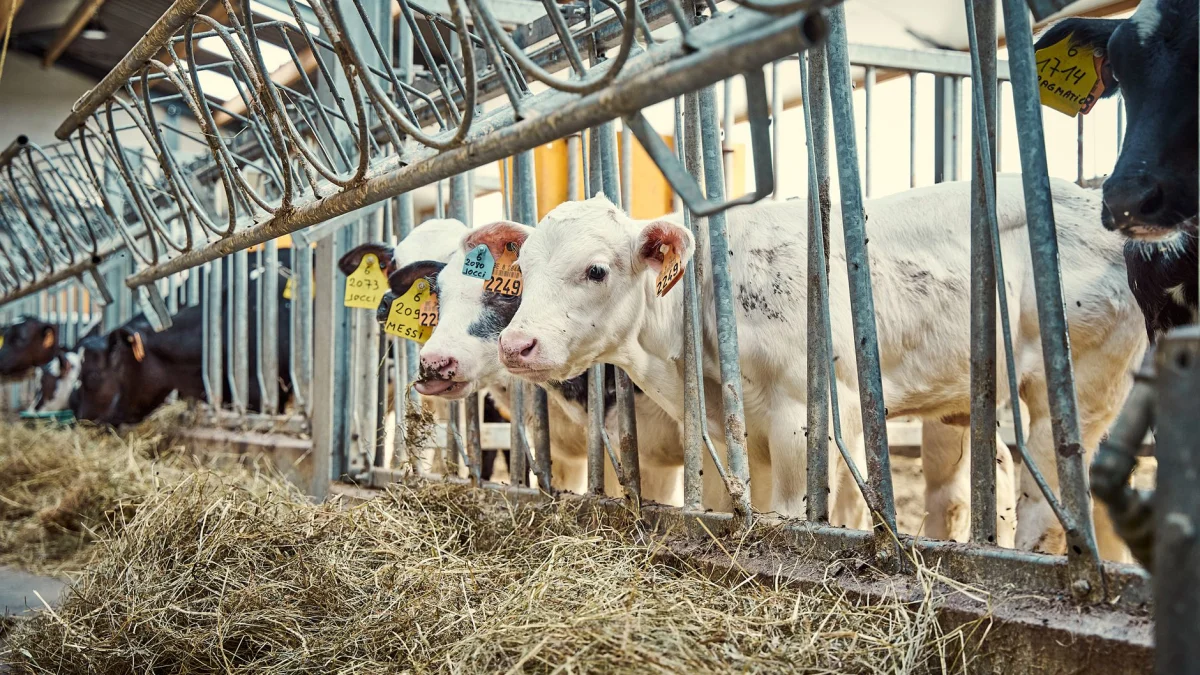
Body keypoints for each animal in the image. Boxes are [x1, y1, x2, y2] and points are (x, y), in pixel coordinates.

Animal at [495, 178, 1146, 560]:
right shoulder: (733, 434)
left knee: (1054, 501)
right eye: (522, 269)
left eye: (596, 270)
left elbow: (799, 512)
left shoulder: (809, 415)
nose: (515, 344)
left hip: (1085, 385)